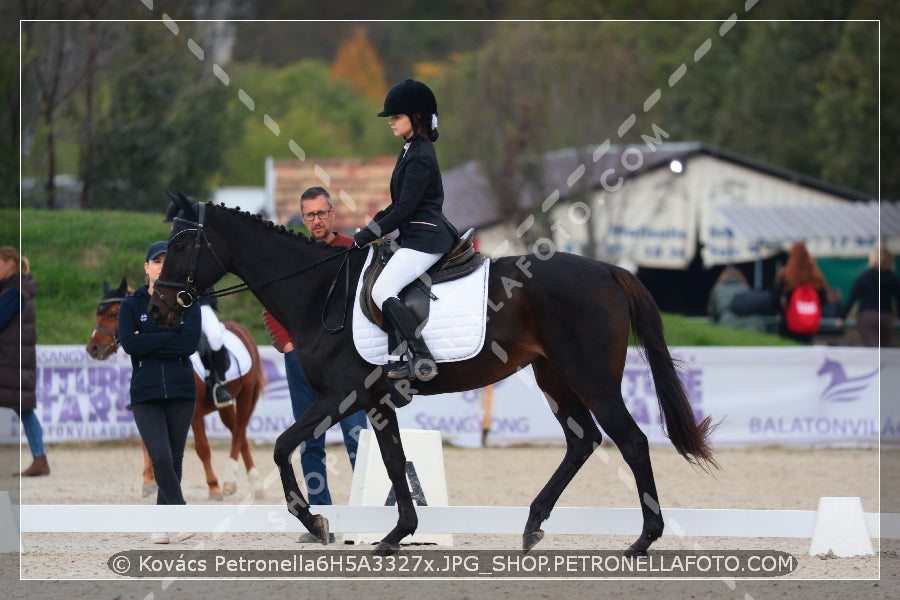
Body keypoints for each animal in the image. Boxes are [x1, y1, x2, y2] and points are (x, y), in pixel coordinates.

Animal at [85, 278, 268, 500]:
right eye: (97, 314)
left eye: (113, 313)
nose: (93, 348)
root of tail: (244, 332)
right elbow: (149, 445)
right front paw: (149, 482)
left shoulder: (195, 412)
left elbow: (202, 448)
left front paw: (213, 486)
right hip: (225, 406)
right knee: (239, 436)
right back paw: (247, 485)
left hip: (246, 396)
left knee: (239, 431)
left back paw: (235, 481)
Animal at [151, 197, 716, 556]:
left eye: (180, 246)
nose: (158, 309)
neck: (320, 292)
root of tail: (607, 270)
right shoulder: (375, 401)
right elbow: (395, 463)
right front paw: (395, 534)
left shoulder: (342, 394)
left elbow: (284, 445)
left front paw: (318, 521)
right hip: (553, 377)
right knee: (583, 441)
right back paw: (534, 524)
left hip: (591, 378)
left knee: (631, 441)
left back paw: (643, 540)